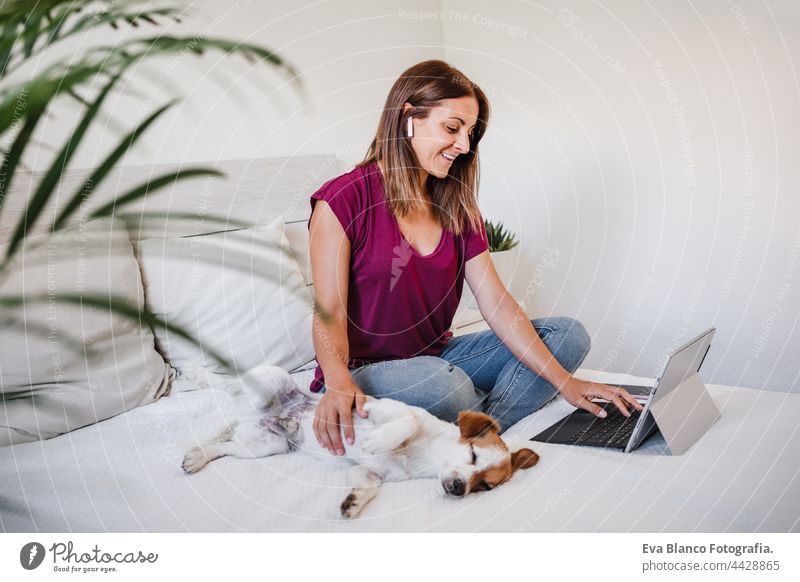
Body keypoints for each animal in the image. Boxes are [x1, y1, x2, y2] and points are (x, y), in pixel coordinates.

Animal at [180, 364, 540, 520]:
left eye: (485, 487)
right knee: (228, 382)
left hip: (266, 445)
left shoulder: (369, 474)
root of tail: (253, 413)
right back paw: (197, 374)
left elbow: (367, 488)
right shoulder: (380, 408)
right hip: (271, 379)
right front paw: (382, 439)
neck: (425, 457)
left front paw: (352, 502)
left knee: (224, 445)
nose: (458, 489)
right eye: (473, 454)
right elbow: (406, 422)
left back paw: (199, 456)